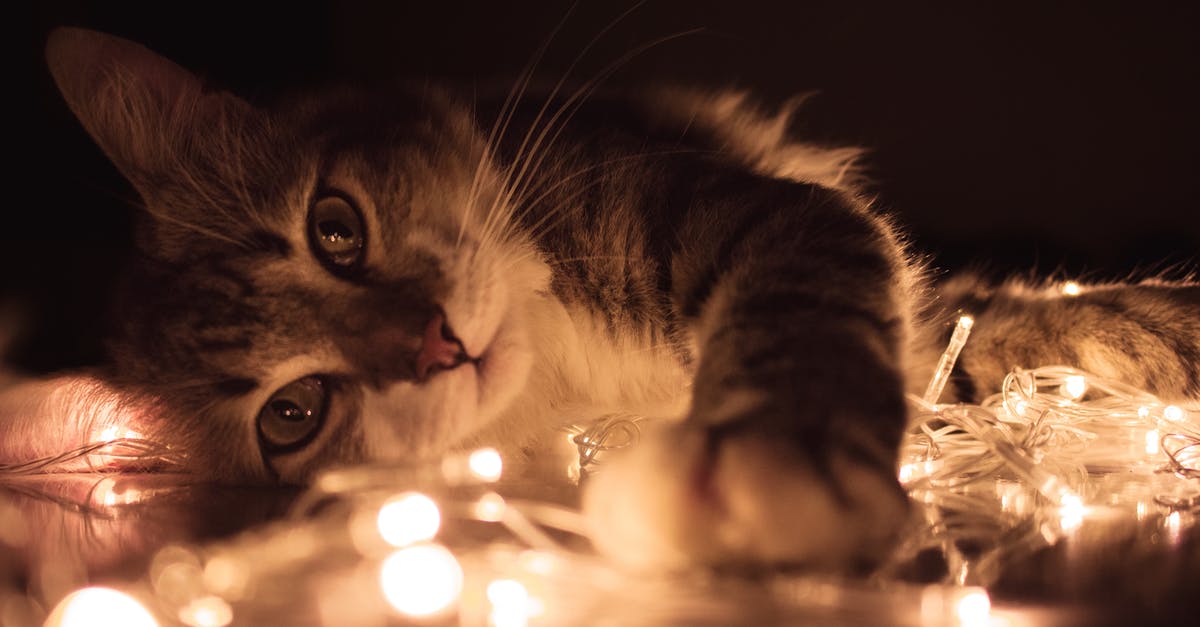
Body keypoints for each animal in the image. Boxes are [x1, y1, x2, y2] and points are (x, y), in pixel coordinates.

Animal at [4, 29, 1195, 574]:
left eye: (334, 228)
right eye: (290, 416)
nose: (434, 346)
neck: (559, 368)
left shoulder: (764, 216)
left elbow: (974, 322)